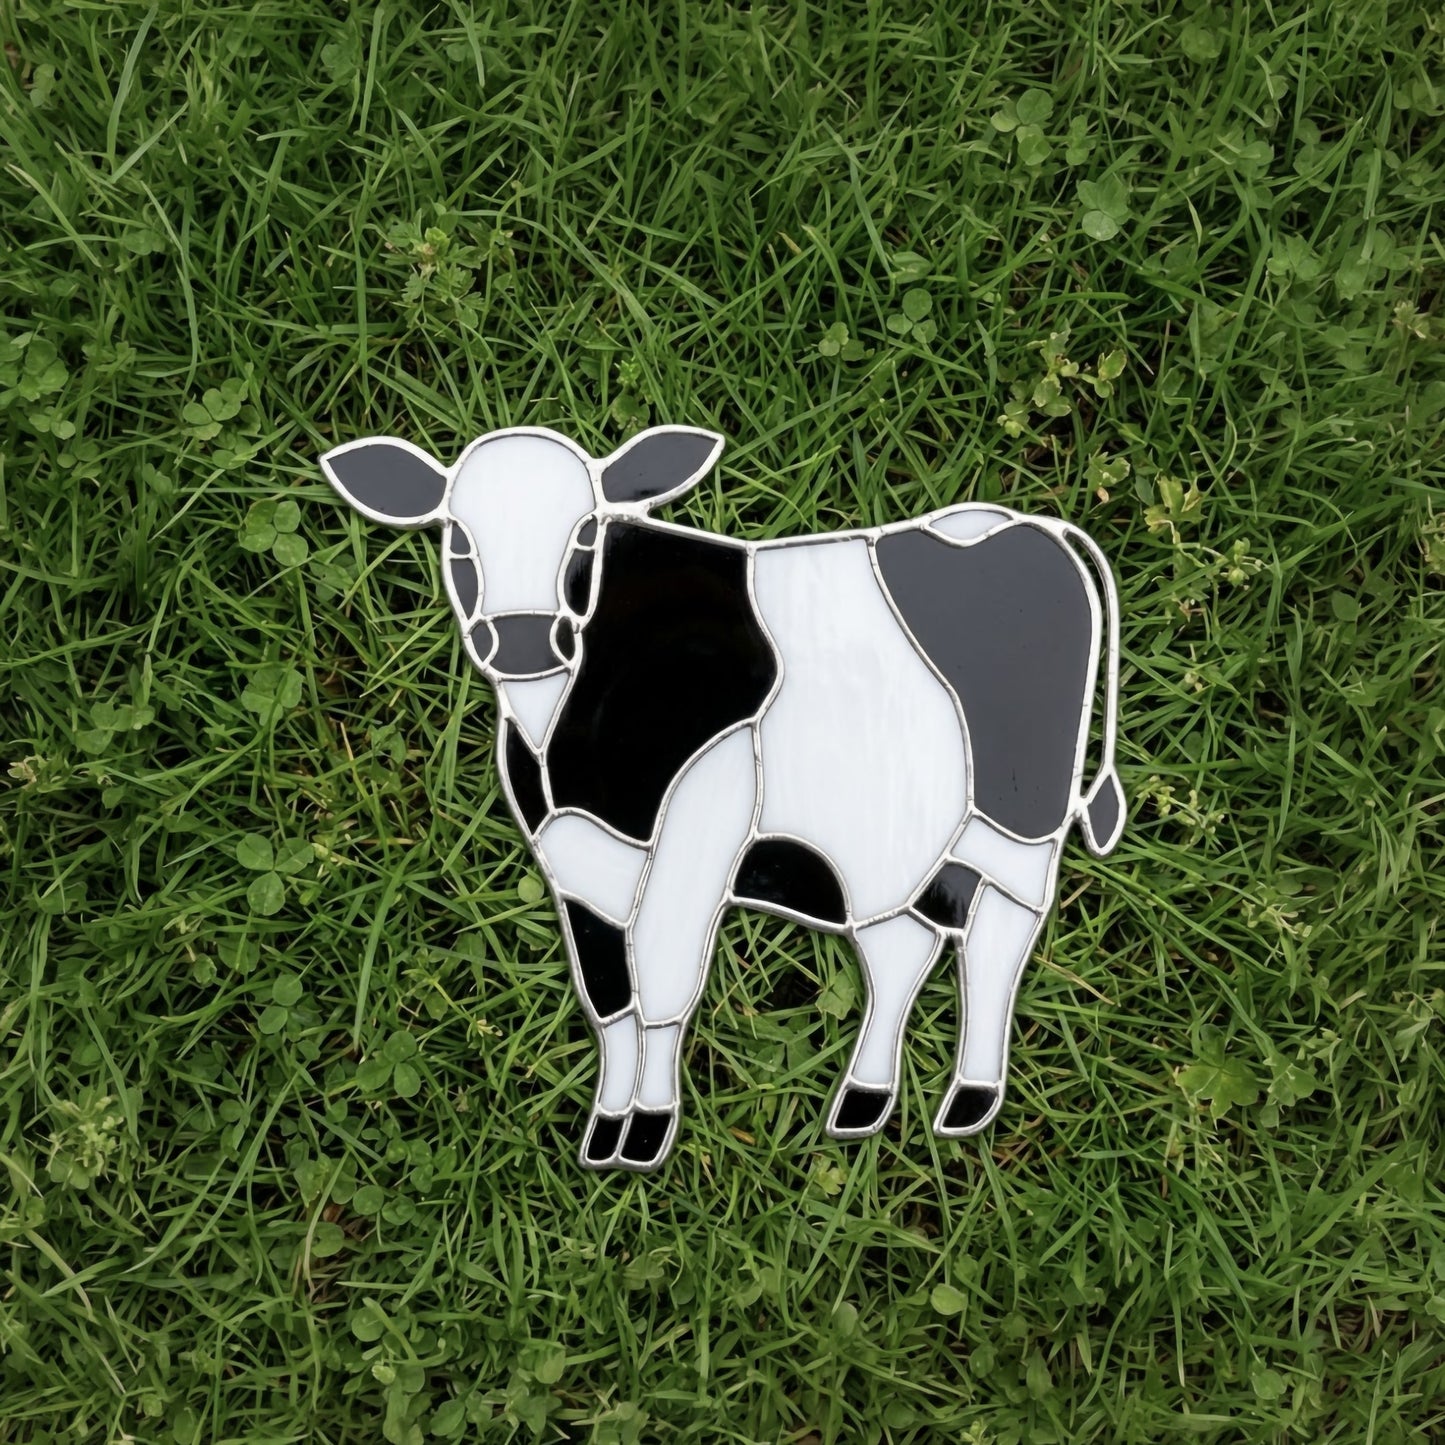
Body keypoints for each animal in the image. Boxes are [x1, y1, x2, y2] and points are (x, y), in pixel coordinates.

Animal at [320, 425, 1126, 1170]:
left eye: (585, 534)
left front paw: (646, 1130)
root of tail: (1025, 523)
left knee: (1000, 937)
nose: (520, 641)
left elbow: (663, 987)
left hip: (1021, 821)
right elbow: (610, 1001)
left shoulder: (699, 825)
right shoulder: (568, 856)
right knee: (903, 947)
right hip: (887, 848)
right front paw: (605, 1131)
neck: (558, 742)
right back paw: (863, 1103)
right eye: (458, 540)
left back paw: (969, 1099)